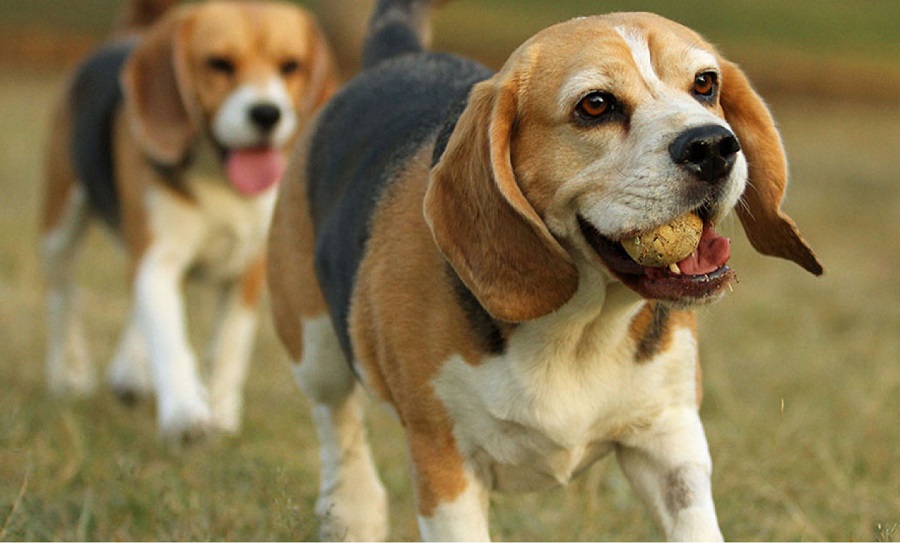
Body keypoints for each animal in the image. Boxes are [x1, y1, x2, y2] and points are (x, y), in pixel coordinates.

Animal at [41, 0, 338, 442]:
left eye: (290, 66)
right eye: (219, 64)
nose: (266, 114)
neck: (220, 178)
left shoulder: (248, 272)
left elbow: (229, 346)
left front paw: (222, 410)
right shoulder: (157, 260)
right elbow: (170, 340)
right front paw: (185, 413)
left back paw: (131, 369)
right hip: (60, 224)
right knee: (63, 296)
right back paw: (67, 373)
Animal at [266, 2, 824, 540]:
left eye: (705, 83)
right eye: (595, 105)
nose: (712, 146)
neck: (578, 327)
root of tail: (398, 54)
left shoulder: (670, 440)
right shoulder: (444, 463)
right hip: (315, 349)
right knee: (337, 426)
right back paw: (352, 513)